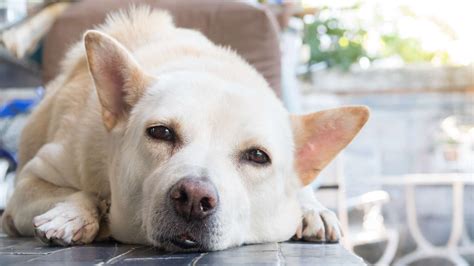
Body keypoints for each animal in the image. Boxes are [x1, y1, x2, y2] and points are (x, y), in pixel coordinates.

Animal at [1, 6, 368, 251]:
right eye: (161, 132)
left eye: (257, 156)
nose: (194, 197)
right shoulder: (30, 182)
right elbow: (81, 192)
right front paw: (72, 214)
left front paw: (312, 208)